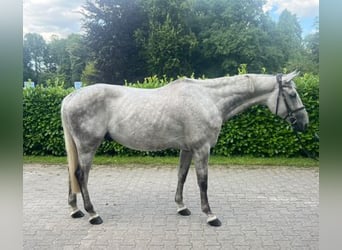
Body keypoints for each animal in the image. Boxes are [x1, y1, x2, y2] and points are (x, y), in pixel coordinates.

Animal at [62, 71, 310, 227]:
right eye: (292, 94)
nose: (304, 123)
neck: (209, 98)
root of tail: (71, 96)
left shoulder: (188, 149)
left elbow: (182, 175)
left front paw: (181, 207)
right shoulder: (202, 148)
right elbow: (203, 181)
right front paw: (210, 215)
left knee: (72, 174)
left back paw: (75, 210)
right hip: (88, 146)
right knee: (81, 175)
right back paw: (93, 214)